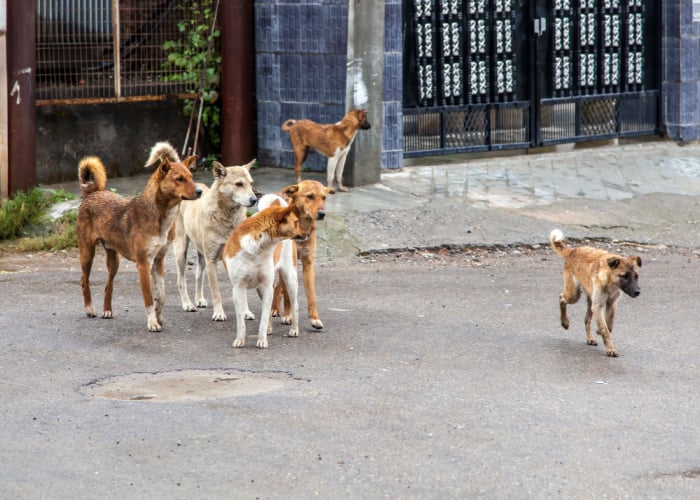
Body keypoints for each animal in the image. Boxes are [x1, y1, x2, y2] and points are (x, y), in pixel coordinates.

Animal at [78, 142, 201, 332]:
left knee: (108, 286)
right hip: (87, 254)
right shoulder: (143, 264)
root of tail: (92, 193)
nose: (200, 191)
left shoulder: (158, 261)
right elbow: (149, 298)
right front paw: (152, 323)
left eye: (191, 177)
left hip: (113, 261)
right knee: (84, 281)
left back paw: (107, 311)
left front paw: (159, 316)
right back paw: (90, 308)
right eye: (179, 179)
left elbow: (162, 294)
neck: (160, 216)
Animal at [174, 158, 258, 320]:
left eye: (251, 183)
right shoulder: (211, 261)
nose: (255, 200)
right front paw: (219, 313)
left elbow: (242, 291)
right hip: (181, 251)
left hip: (202, 255)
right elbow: (216, 292)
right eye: (239, 184)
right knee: (181, 281)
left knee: (198, 275)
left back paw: (199, 299)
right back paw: (187, 304)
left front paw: (245, 311)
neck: (226, 215)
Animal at [223, 191, 308, 348]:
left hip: (290, 279)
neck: (257, 248)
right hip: (260, 289)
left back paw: (294, 330)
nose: (308, 234)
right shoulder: (238, 288)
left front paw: (262, 340)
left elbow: (263, 319)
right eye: (296, 222)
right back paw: (269, 329)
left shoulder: (268, 287)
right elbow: (241, 321)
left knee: (295, 306)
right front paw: (240, 339)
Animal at [272, 182, 334, 330]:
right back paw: (274, 309)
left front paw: (315, 319)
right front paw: (288, 315)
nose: (322, 214)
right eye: (310, 196)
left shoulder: (308, 264)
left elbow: (311, 296)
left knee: (278, 287)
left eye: (324, 197)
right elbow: (287, 295)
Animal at [548, 229, 644, 358]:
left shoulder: (612, 304)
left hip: (590, 302)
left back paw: (590, 338)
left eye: (636, 276)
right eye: (624, 276)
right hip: (574, 295)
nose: (637, 292)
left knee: (587, 320)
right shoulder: (598, 306)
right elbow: (605, 329)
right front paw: (611, 349)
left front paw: (600, 331)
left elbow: (609, 325)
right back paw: (565, 322)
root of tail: (573, 250)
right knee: (561, 297)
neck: (610, 281)